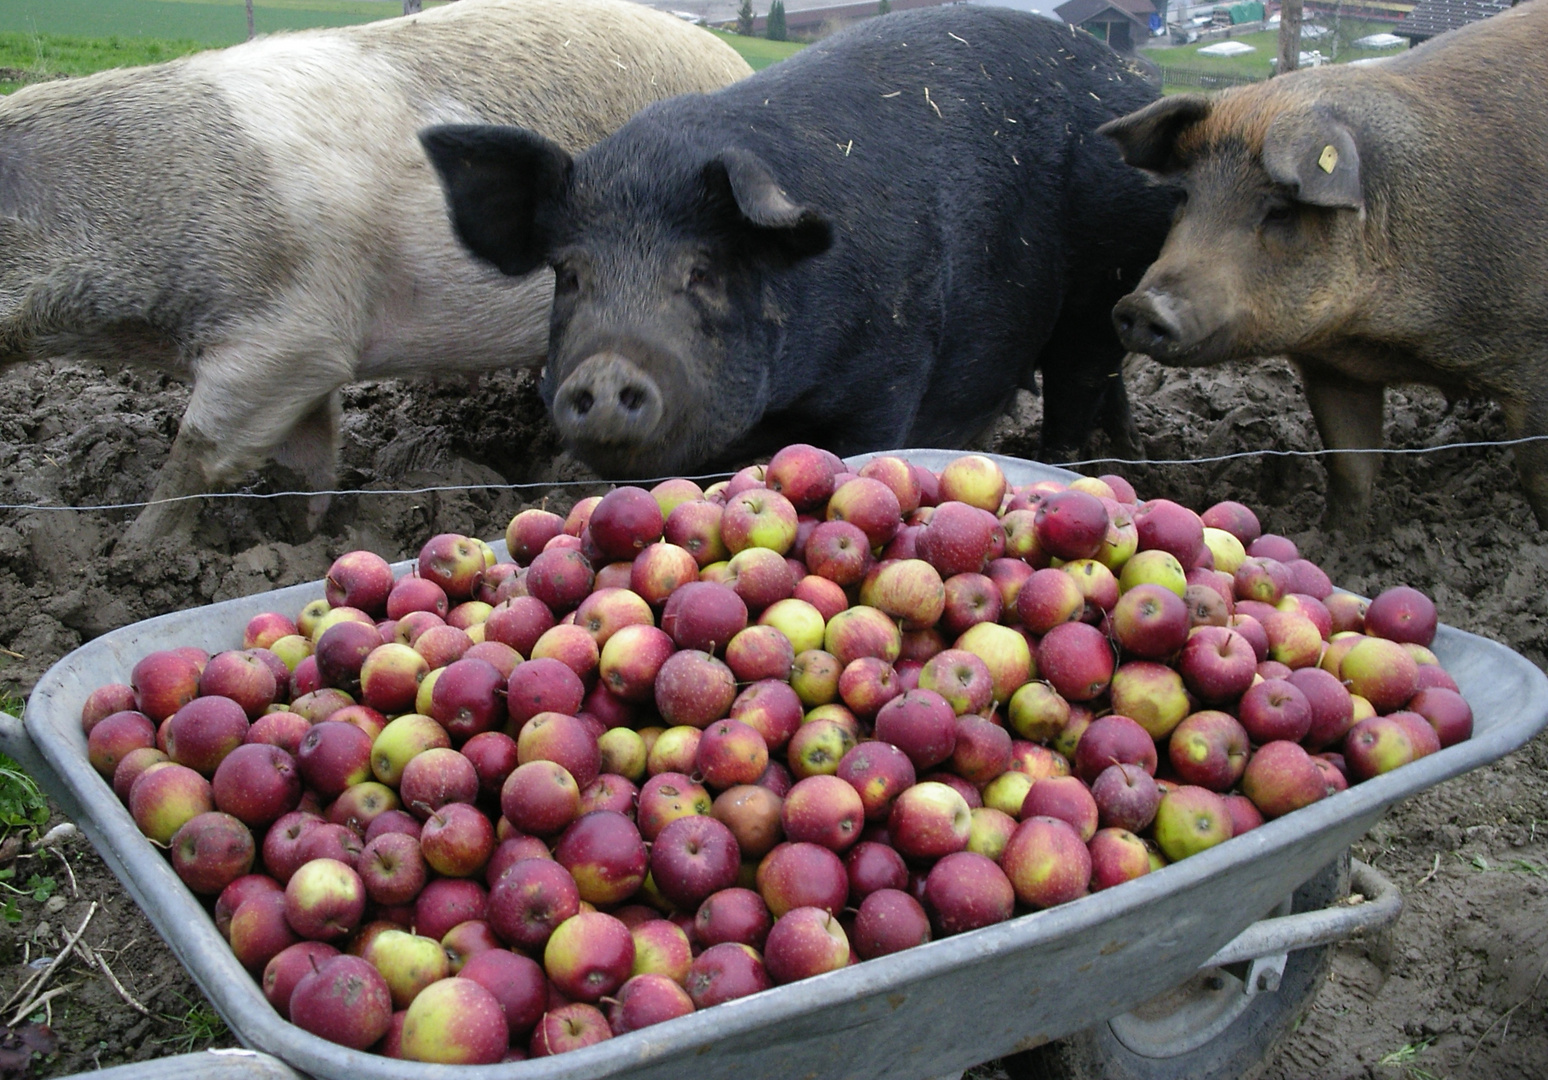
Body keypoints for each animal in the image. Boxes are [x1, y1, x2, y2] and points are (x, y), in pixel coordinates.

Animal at [424, 6, 1170, 473]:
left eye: (702, 270)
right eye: (571, 274)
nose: (606, 370)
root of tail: (1133, 78)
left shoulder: (893, 373)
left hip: (1110, 270)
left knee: (1080, 380)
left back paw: (1086, 463)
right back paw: (1130, 449)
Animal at [1102, 3, 1548, 526]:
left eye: (1280, 209)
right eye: (1185, 196)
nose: (1142, 305)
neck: (1380, 336)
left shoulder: (1534, 358)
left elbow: (1537, 480)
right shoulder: (1335, 369)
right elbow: (1351, 469)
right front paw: (1337, 540)